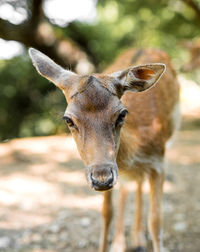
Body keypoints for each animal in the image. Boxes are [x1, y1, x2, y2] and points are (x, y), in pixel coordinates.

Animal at [28, 47, 180, 252]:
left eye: (122, 113)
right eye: (68, 120)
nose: (102, 179)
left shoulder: (159, 161)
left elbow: (156, 222)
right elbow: (107, 213)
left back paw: (138, 239)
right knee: (129, 186)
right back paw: (123, 242)